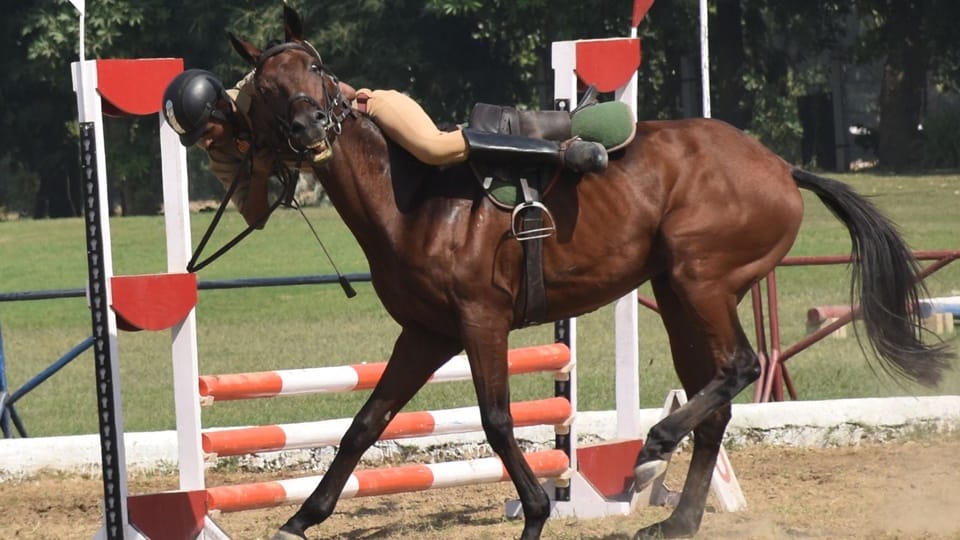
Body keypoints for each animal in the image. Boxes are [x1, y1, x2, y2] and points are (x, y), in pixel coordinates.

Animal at [229, 6, 951, 539]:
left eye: (317, 68)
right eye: (265, 86)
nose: (311, 127)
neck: (413, 196)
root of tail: (779, 166)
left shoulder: (480, 321)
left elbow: (496, 419)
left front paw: (537, 513)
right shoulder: (426, 334)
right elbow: (365, 423)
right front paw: (300, 520)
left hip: (700, 282)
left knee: (739, 367)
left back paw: (653, 447)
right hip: (680, 297)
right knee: (715, 399)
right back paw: (678, 518)